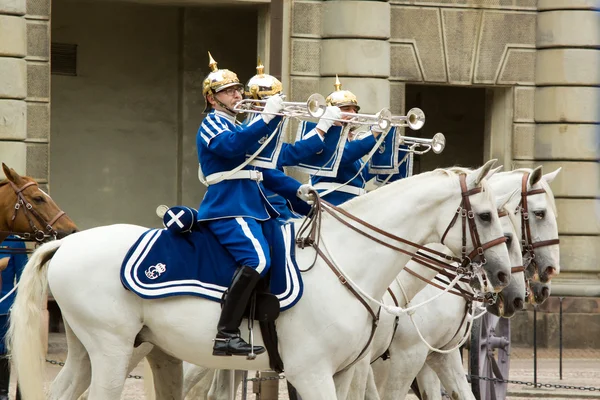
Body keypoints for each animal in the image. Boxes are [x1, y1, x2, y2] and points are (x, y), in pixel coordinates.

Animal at [8, 161, 510, 398]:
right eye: (486, 215)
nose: (505, 277)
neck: (351, 262)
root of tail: (68, 244)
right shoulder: (313, 372)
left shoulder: (348, 371)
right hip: (112, 350)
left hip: (105, 349)